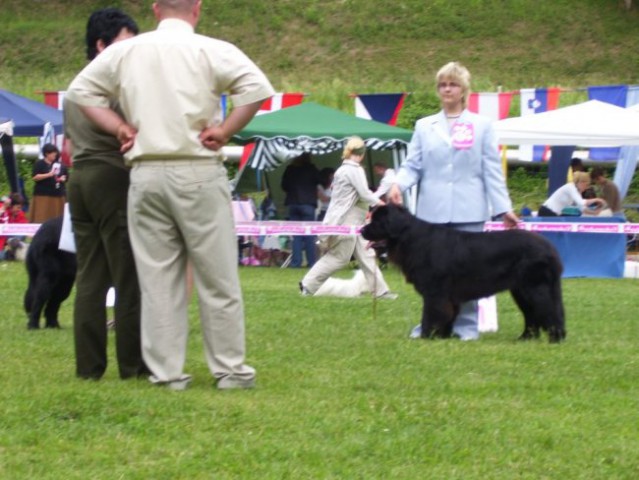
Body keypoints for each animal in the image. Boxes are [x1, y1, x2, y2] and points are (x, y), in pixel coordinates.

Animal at [362, 204, 568, 344]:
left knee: (549, 310)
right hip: (521, 290)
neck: (410, 238)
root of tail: (551, 248)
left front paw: (426, 336)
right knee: (532, 314)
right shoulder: (447, 296)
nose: (362, 230)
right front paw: (444, 337)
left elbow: (431, 314)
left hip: (535, 287)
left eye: (377, 222)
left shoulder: (435, 292)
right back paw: (525, 338)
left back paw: (555, 339)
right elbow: (447, 315)